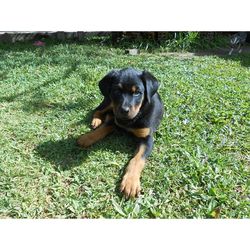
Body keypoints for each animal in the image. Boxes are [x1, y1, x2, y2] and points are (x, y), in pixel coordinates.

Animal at [77, 67, 164, 198]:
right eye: (117, 91)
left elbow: (137, 159)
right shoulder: (114, 120)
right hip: (109, 102)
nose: (124, 110)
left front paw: (130, 183)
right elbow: (101, 130)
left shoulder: (147, 138)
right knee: (98, 110)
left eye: (137, 92)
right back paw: (96, 120)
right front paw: (86, 138)